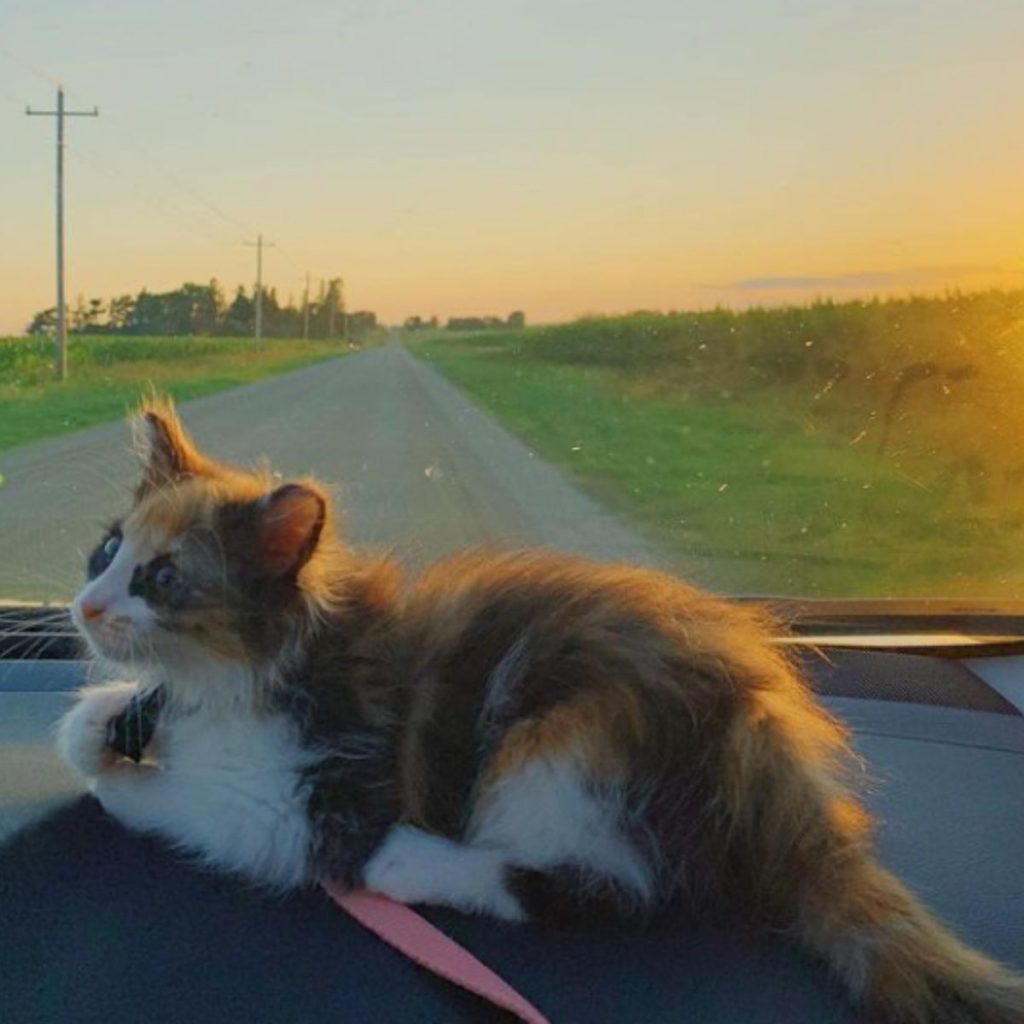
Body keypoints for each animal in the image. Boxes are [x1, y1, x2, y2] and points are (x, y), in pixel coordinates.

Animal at [58, 399, 1024, 1024]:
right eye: (106, 551)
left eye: (163, 579)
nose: (87, 607)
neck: (250, 667)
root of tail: (777, 771)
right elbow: (112, 721)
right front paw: (101, 721)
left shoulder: (312, 802)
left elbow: (192, 803)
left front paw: (126, 782)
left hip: (570, 739)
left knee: (614, 891)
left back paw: (415, 864)